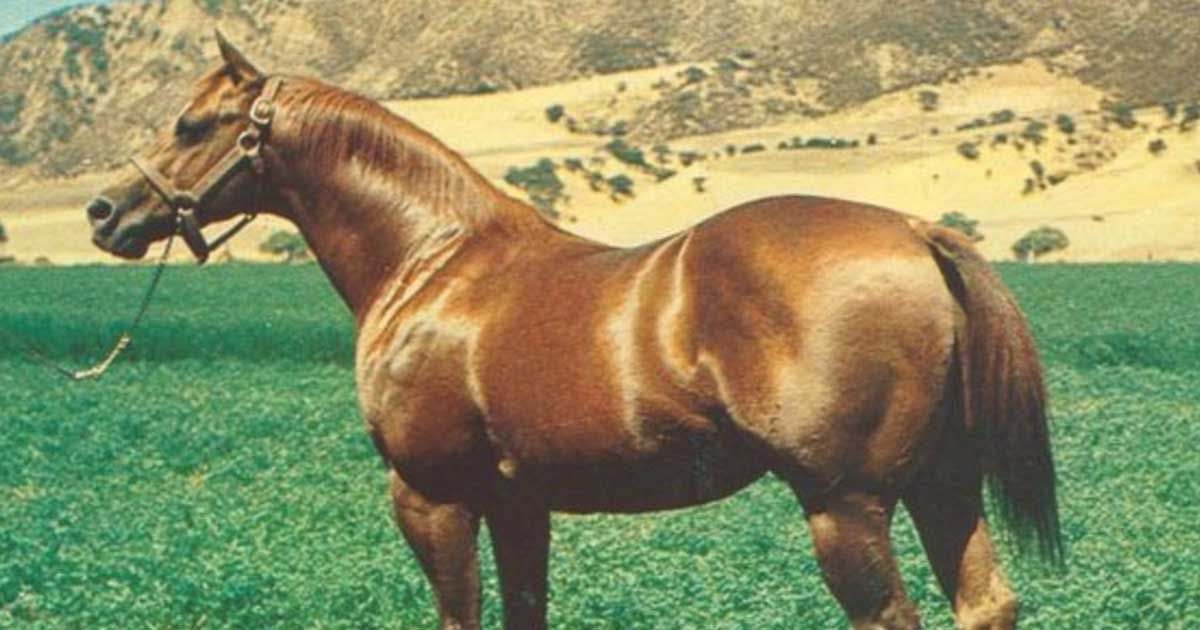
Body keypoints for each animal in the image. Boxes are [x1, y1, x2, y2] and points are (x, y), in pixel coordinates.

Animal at [86, 32, 1060, 630]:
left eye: (192, 124)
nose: (106, 212)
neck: (434, 259)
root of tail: (913, 232)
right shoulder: (520, 503)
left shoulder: (431, 497)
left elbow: (461, 613)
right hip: (941, 485)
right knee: (987, 604)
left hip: (845, 506)